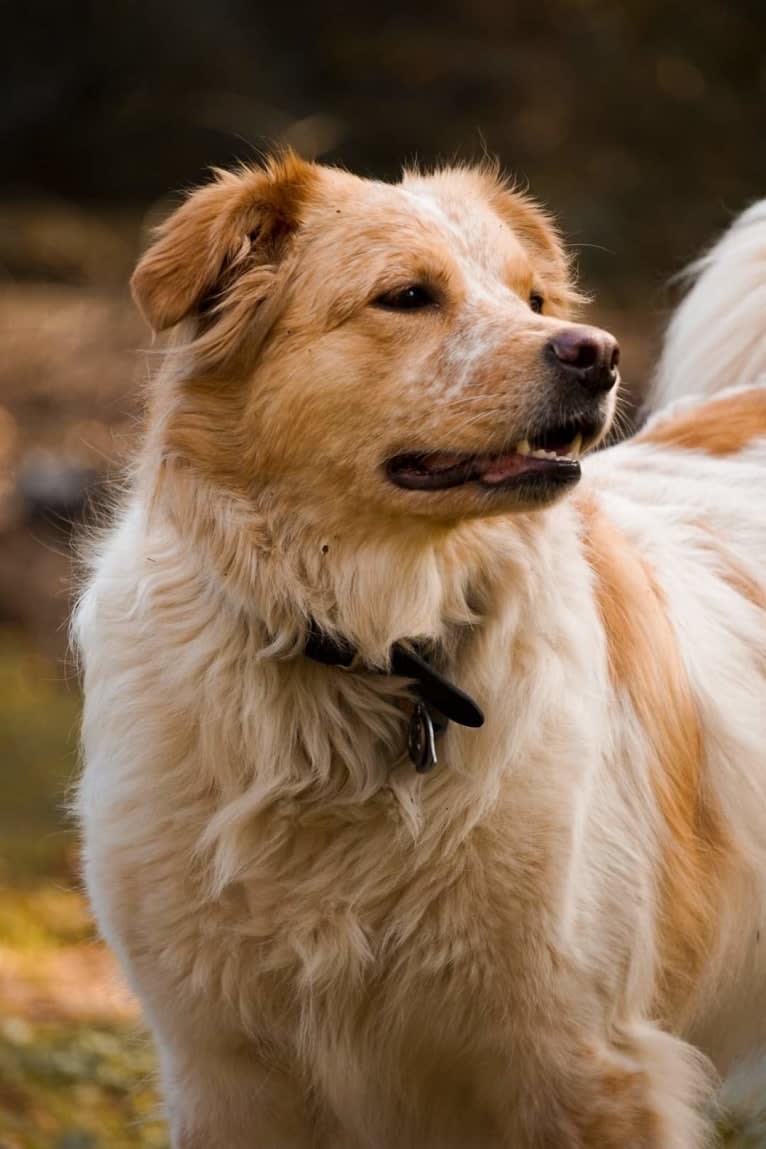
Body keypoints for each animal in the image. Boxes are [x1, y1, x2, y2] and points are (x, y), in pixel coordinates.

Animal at [76, 155, 766, 1149]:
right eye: (407, 296)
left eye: (534, 298)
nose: (596, 352)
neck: (369, 652)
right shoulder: (226, 1074)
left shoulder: (590, 1066)